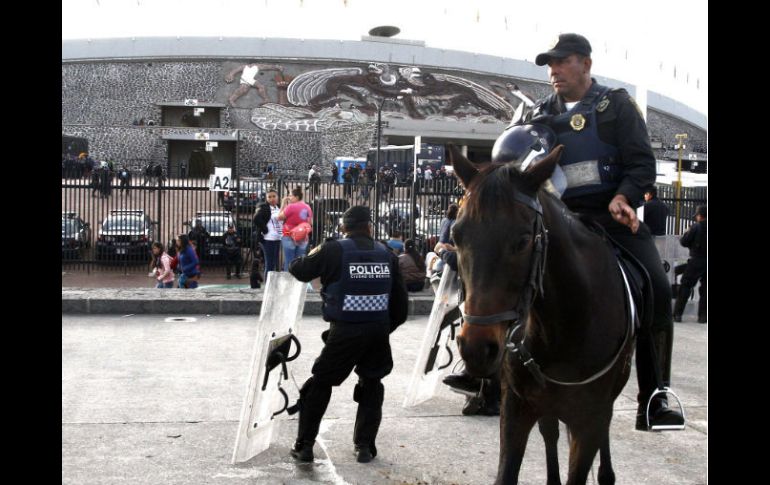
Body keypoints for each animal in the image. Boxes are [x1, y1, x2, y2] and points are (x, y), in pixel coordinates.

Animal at [448, 145, 632, 484]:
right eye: (456, 235)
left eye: (522, 241)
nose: (477, 348)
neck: (562, 328)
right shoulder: (516, 409)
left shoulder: (590, 420)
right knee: (550, 432)